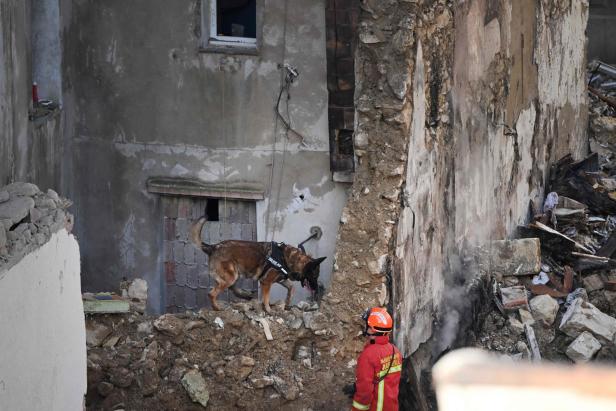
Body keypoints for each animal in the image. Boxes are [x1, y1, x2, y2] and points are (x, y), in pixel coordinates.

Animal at [190, 217, 328, 314]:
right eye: (314, 276)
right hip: (231, 276)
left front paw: (288, 302)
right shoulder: (266, 282)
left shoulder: (281, 280)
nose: (316, 289)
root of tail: (213, 247)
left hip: (234, 275)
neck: (289, 258)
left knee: (232, 289)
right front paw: (268, 310)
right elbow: (266, 298)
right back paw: (217, 308)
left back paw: (245, 295)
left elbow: (291, 288)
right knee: (212, 293)